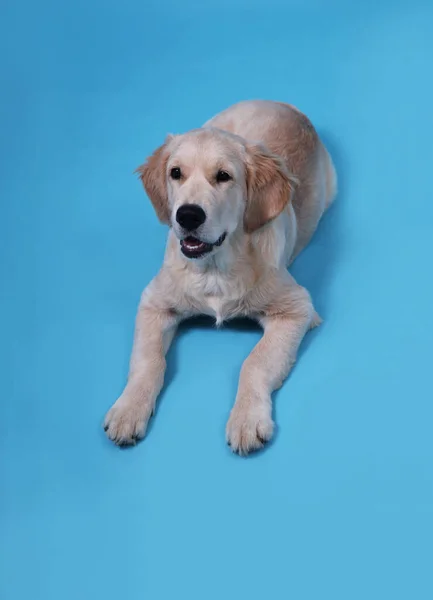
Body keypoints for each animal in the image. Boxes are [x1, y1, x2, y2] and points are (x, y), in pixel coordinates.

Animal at [103, 99, 336, 454]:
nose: (187, 215)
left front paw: (247, 419)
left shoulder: (297, 308)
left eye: (224, 176)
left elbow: (254, 363)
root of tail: (284, 105)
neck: (214, 267)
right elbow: (148, 360)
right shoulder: (154, 303)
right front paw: (128, 409)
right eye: (176, 173)